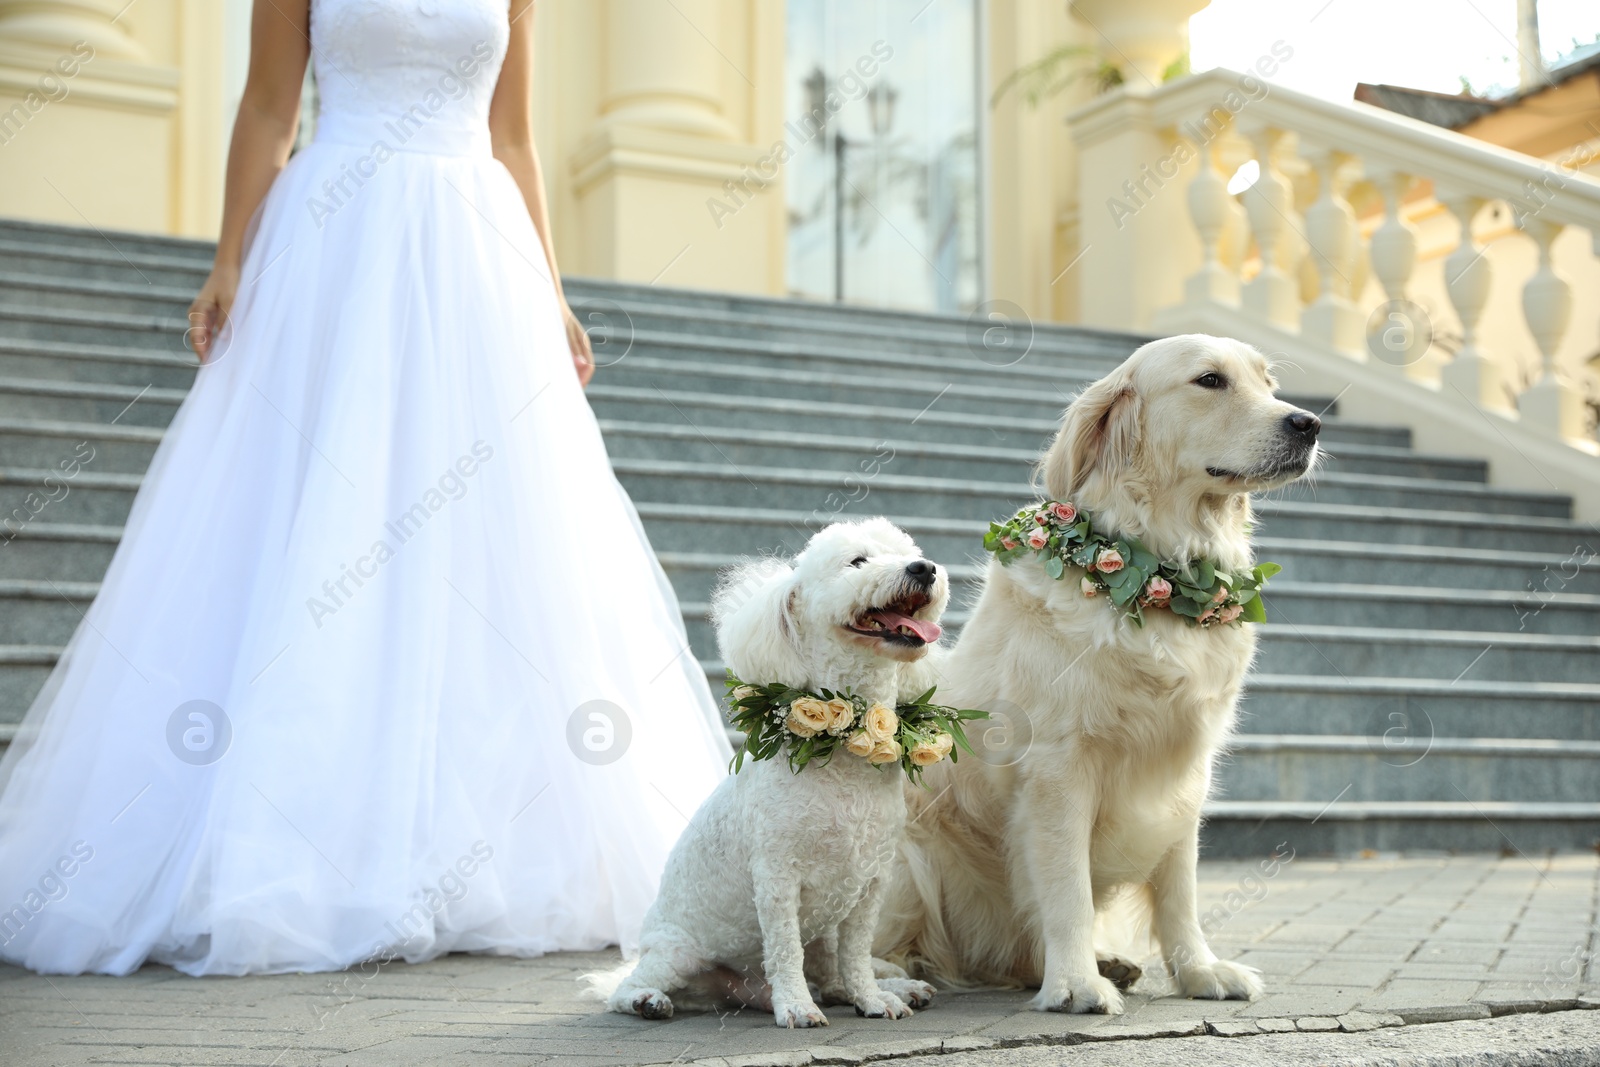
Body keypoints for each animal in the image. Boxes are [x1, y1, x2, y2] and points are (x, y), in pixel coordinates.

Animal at [601, 518, 947, 1023]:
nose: (924, 568)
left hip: (823, 932)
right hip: (677, 951)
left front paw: (873, 999)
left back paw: (894, 987)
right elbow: (785, 949)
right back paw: (647, 1000)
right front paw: (798, 1007)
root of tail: (740, 989)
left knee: (832, 976)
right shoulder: (777, 878)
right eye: (857, 561)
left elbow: (857, 954)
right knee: (624, 987)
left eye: (909, 552)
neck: (844, 749)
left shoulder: (871, 881)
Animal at [883, 337, 1318, 1017]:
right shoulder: (1057, 769)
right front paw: (1076, 985)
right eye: (1210, 381)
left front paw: (1199, 971)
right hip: (906, 853)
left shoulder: (1185, 768)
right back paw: (891, 984)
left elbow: (1180, 888)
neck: (1157, 575)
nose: (1309, 424)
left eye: (1268, 383)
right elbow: (1068, 891)